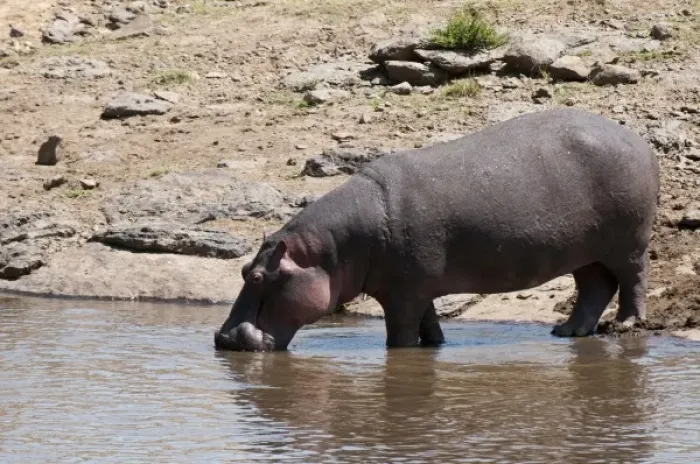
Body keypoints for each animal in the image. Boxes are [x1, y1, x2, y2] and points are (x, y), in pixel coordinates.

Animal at [214, 108, 659, 352]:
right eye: (242, 270)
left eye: (258, 276)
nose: (224, 339)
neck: (332, 250)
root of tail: (638, 140)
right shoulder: (414, 287)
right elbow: (429, 327)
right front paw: (437, 346)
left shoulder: (402, 296)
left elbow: (399, 336)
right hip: (585, 253)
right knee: (594, 287)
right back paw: (566, 332)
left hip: (627, 243)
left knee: (633, 279)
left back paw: (626, 325)